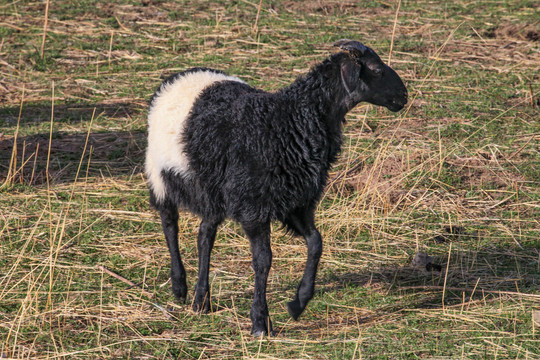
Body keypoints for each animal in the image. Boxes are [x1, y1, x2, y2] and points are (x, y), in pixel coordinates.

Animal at [146, 40, 408, 336]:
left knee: (205, 235)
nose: (404, 96)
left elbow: (316, 242)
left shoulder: (296, 203)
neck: (288, 122)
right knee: (170, 224)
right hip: (159, 173)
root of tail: (181, 75)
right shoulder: (254, 207)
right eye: (376, 69)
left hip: (213, 190)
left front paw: (298, 303)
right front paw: (260, 321)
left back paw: (201, 300)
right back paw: (180, 287)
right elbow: (264, 260)